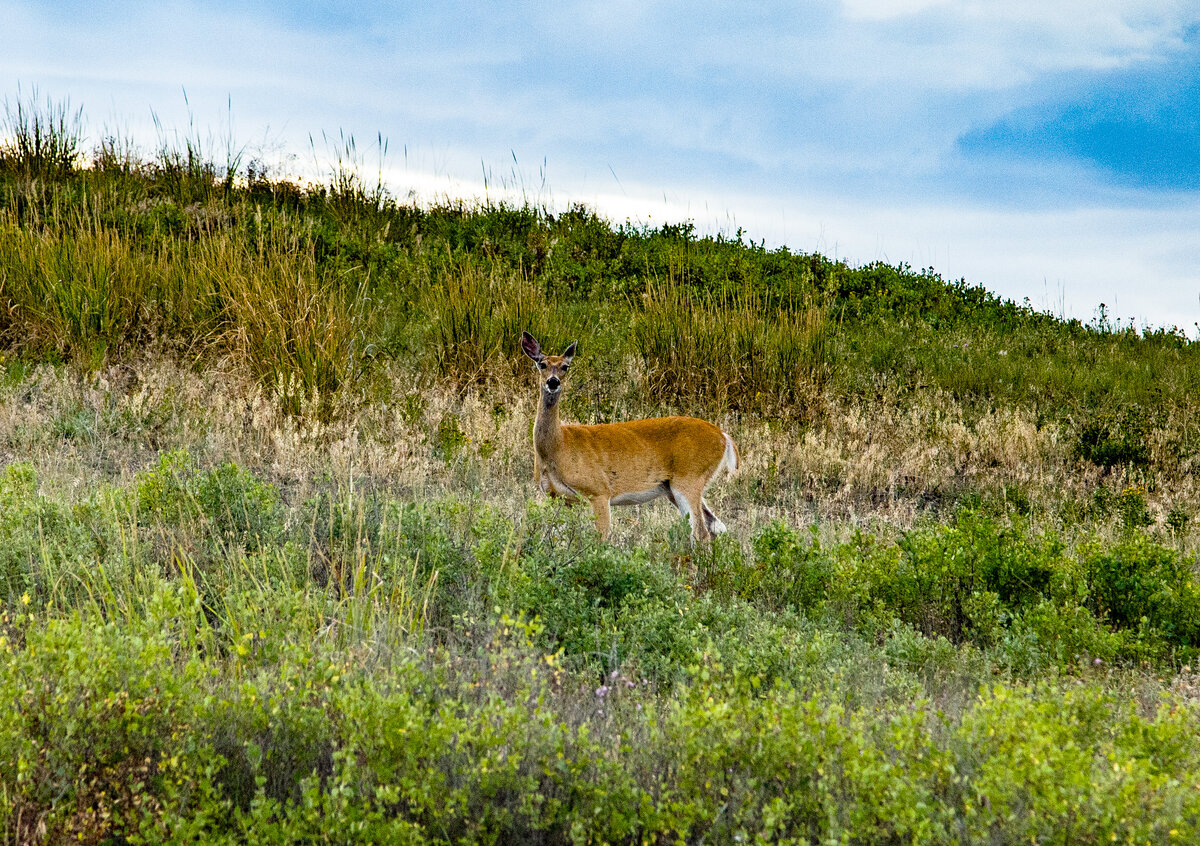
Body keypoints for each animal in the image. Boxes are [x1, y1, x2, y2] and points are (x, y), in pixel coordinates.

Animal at [521, 331, 739, 543]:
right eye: (542, 364)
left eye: (565, 366)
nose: (553, 382)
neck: (559, 447)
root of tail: (723, 436)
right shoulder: (559, 497)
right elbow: (557, 535)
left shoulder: (599, 490)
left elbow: (601, 539)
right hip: (673, 488)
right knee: (714, 527)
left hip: (689, 477)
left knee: (700, 532)